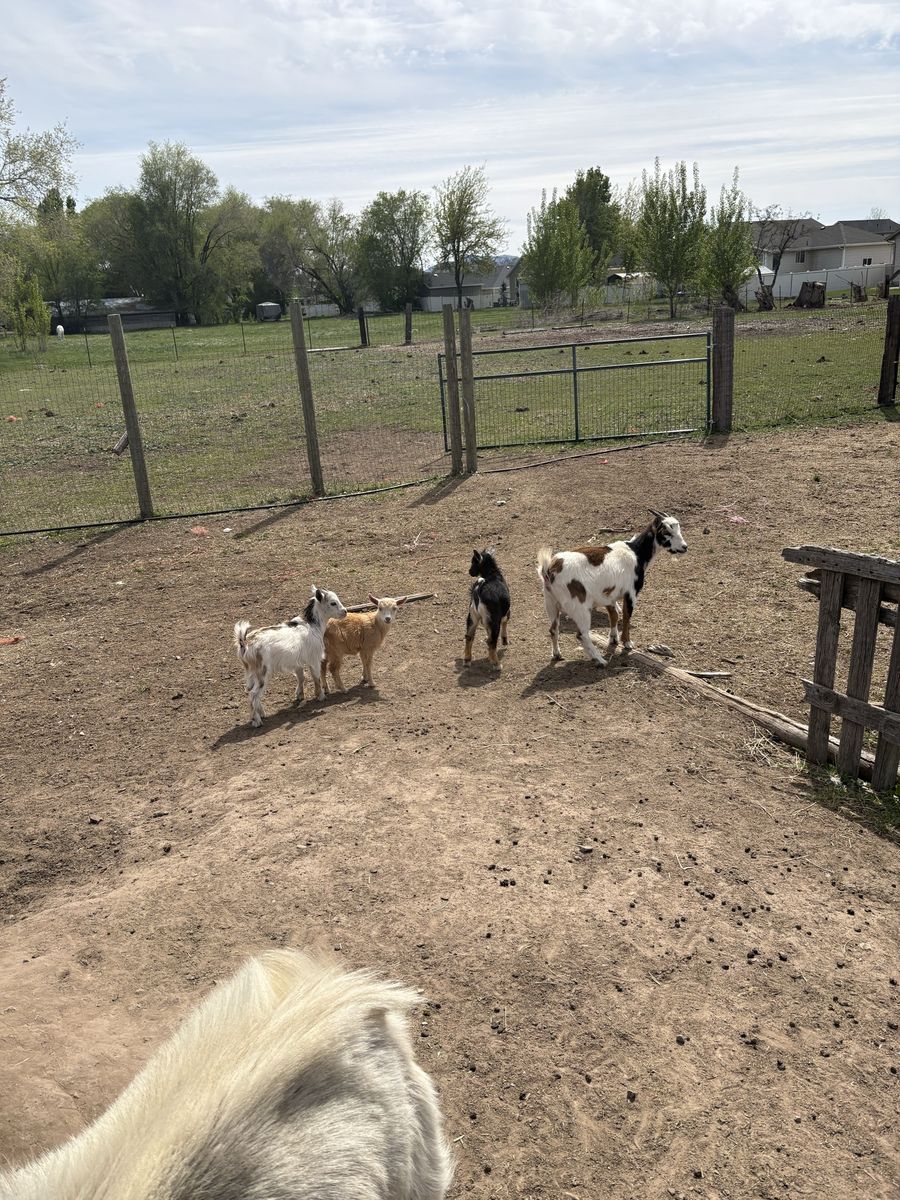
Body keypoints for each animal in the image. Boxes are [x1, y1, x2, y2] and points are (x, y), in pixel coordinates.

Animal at [234, 586, 346, 726]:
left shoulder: (297, 663)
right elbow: (316, 677)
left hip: (251, 673)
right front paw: (320, 696)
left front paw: (299, 695)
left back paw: (262, 714)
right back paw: (257, 721)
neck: (312, 625)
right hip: (262, 673)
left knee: (252, 692)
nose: (345, 612)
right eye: (333, 603)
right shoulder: (314, 659)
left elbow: (301, 677)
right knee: (254, 694)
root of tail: (244, 643)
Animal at [537, 510, 687, 666]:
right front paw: (627, 642)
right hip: (579, 607)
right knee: (581, 634)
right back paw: (600, 660)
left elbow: (614, 614)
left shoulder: (608, 595)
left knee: (553, 629)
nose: (684, 547)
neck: (636, 552)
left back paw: (557, 654)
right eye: (667, 532)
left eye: (678, 529)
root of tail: (549, 569)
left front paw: (613, 639)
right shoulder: (631, 593)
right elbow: (626, 616)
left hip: (551, 603)